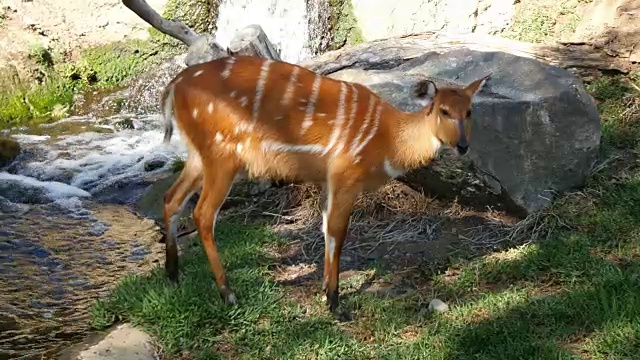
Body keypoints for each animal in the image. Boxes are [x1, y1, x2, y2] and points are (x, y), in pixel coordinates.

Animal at [158, 54, 488, 320]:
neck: (387, 138)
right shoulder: (345, 175)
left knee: (171, 198)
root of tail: (173, 86)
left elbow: (326, 227)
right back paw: (228, 293)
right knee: (202, 214)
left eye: (470, 111)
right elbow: (337, 232)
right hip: (222, 158)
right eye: (444, 111)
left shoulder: (328, 181)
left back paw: (173, 275)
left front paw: (327, 294)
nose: (463, 146)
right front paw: (335, 304)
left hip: (198, 156)